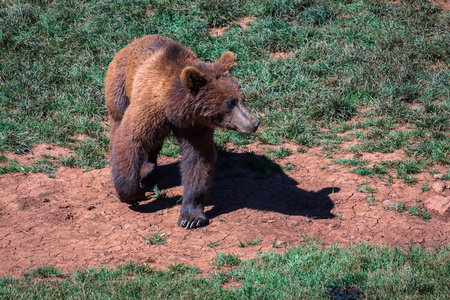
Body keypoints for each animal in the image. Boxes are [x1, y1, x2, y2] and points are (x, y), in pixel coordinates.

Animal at [105, 36, 260, 230]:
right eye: (230, 102)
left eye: (242, 99)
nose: (254, 122)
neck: (173, 107)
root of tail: (132, 42)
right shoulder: (149, 107)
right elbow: (131, 139)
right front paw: (133, 195)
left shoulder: (195, 125)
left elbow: (197, 159)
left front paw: (191, 217)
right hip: (120, 85)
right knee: (118, 123)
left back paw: (148, 170)